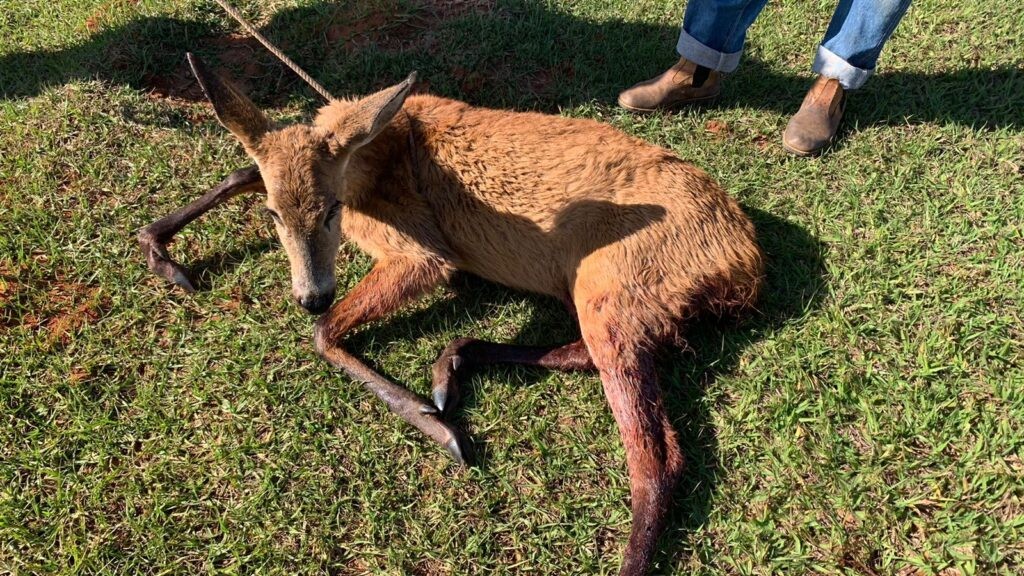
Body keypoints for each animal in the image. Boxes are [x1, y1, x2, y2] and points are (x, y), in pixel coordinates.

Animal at [138, 39, 761, 569]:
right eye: (273, 215)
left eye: (331, 208)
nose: (310, 295)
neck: (382, 154)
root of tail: (745, 262)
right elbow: (244, 169)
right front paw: (160, 250)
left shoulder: (424, 251)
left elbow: (325, 335)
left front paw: (437, 428)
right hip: (613, 296)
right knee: (597, 363)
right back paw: (453, 364)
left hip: (612, 277)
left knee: (655, 460)